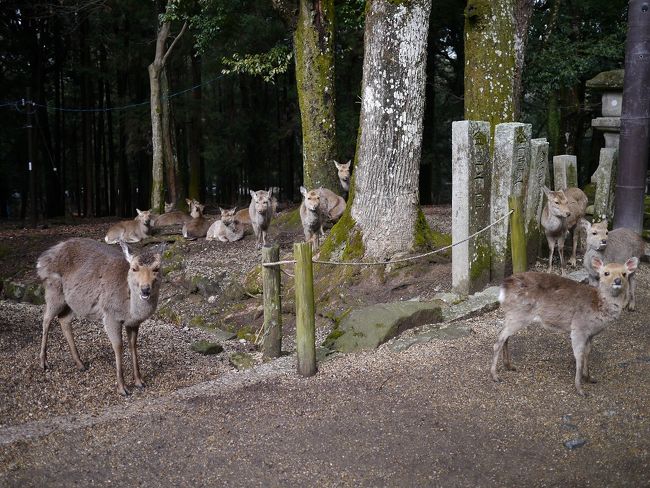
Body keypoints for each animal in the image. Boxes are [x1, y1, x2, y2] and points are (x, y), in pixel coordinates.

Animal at [36, 237, 163, 396]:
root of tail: (42, 260)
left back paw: (80, 364)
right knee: (46, 318)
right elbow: (118, 346)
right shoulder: (110, 315)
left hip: (74, 302)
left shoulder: (134, 323)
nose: (145, 289)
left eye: (156, 268)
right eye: (134, 268)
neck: (130, 310)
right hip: (54, 291)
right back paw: (44, 363)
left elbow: (133, 345)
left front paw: (140, 382)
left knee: (63, 319)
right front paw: (122, 388)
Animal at [492, 255, 632, 396]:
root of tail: (503, 288)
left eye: (624, 273)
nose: (618, 280)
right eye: (606, 273)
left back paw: (509, 366)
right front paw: (580, 389)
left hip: (513, 315)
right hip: (518, 314)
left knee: (505, 337)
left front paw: (589, 378)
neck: (598, 305)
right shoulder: (578, 328)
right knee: (498, 340)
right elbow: (579, 356)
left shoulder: (590, 334)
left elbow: (587, 353)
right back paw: (495, 376)